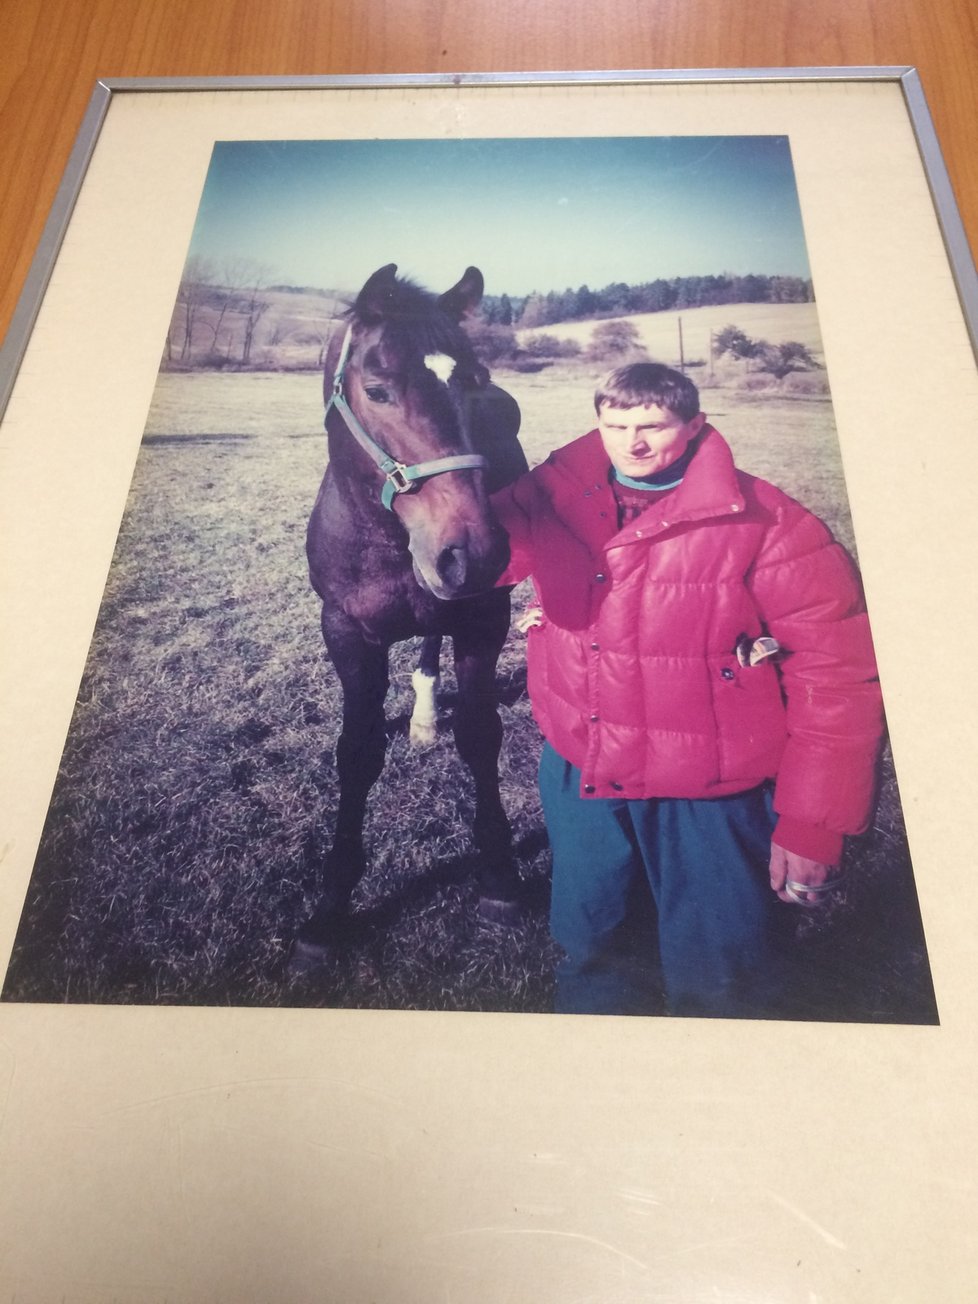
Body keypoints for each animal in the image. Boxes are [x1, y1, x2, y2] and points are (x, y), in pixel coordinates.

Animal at [294, 264, 529, 959]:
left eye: (472, 382)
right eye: (377, 390)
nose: (473, 551)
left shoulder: (483, 621)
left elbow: (481, 735)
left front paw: (499, 878)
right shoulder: (345, 633)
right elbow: (356, 753)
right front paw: (331, 906)